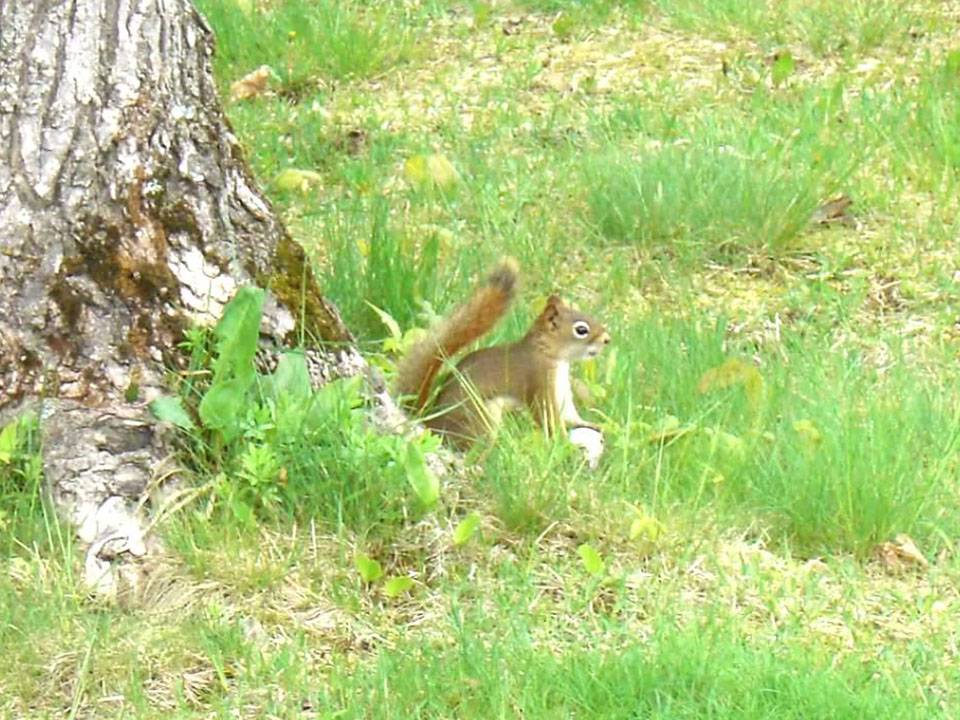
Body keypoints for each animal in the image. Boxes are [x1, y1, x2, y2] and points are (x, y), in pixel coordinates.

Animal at [396, 258, 608, 448]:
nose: (607, 339)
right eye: (581, 330)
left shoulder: (562, 385)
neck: (550, 353)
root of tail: (431, 425)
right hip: (483, 416)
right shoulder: (538, 379)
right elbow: (548, 416)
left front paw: (591, 423)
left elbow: (569, 414)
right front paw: (564, 443)